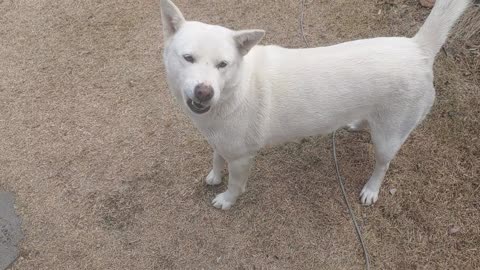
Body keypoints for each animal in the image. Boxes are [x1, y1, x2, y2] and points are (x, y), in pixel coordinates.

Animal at [160, 0, 468, 210]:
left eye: (223, 64)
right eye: (188, 58)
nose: (204, 92)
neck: (234, 89)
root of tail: (418, 48)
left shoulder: (242, 158)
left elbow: (236, 184)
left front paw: (226, 199)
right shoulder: (220, 140)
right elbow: (216, 156)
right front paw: (214, 175)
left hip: (388, 138)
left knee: (383, 164)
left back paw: (371, 189)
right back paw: (357, 123)